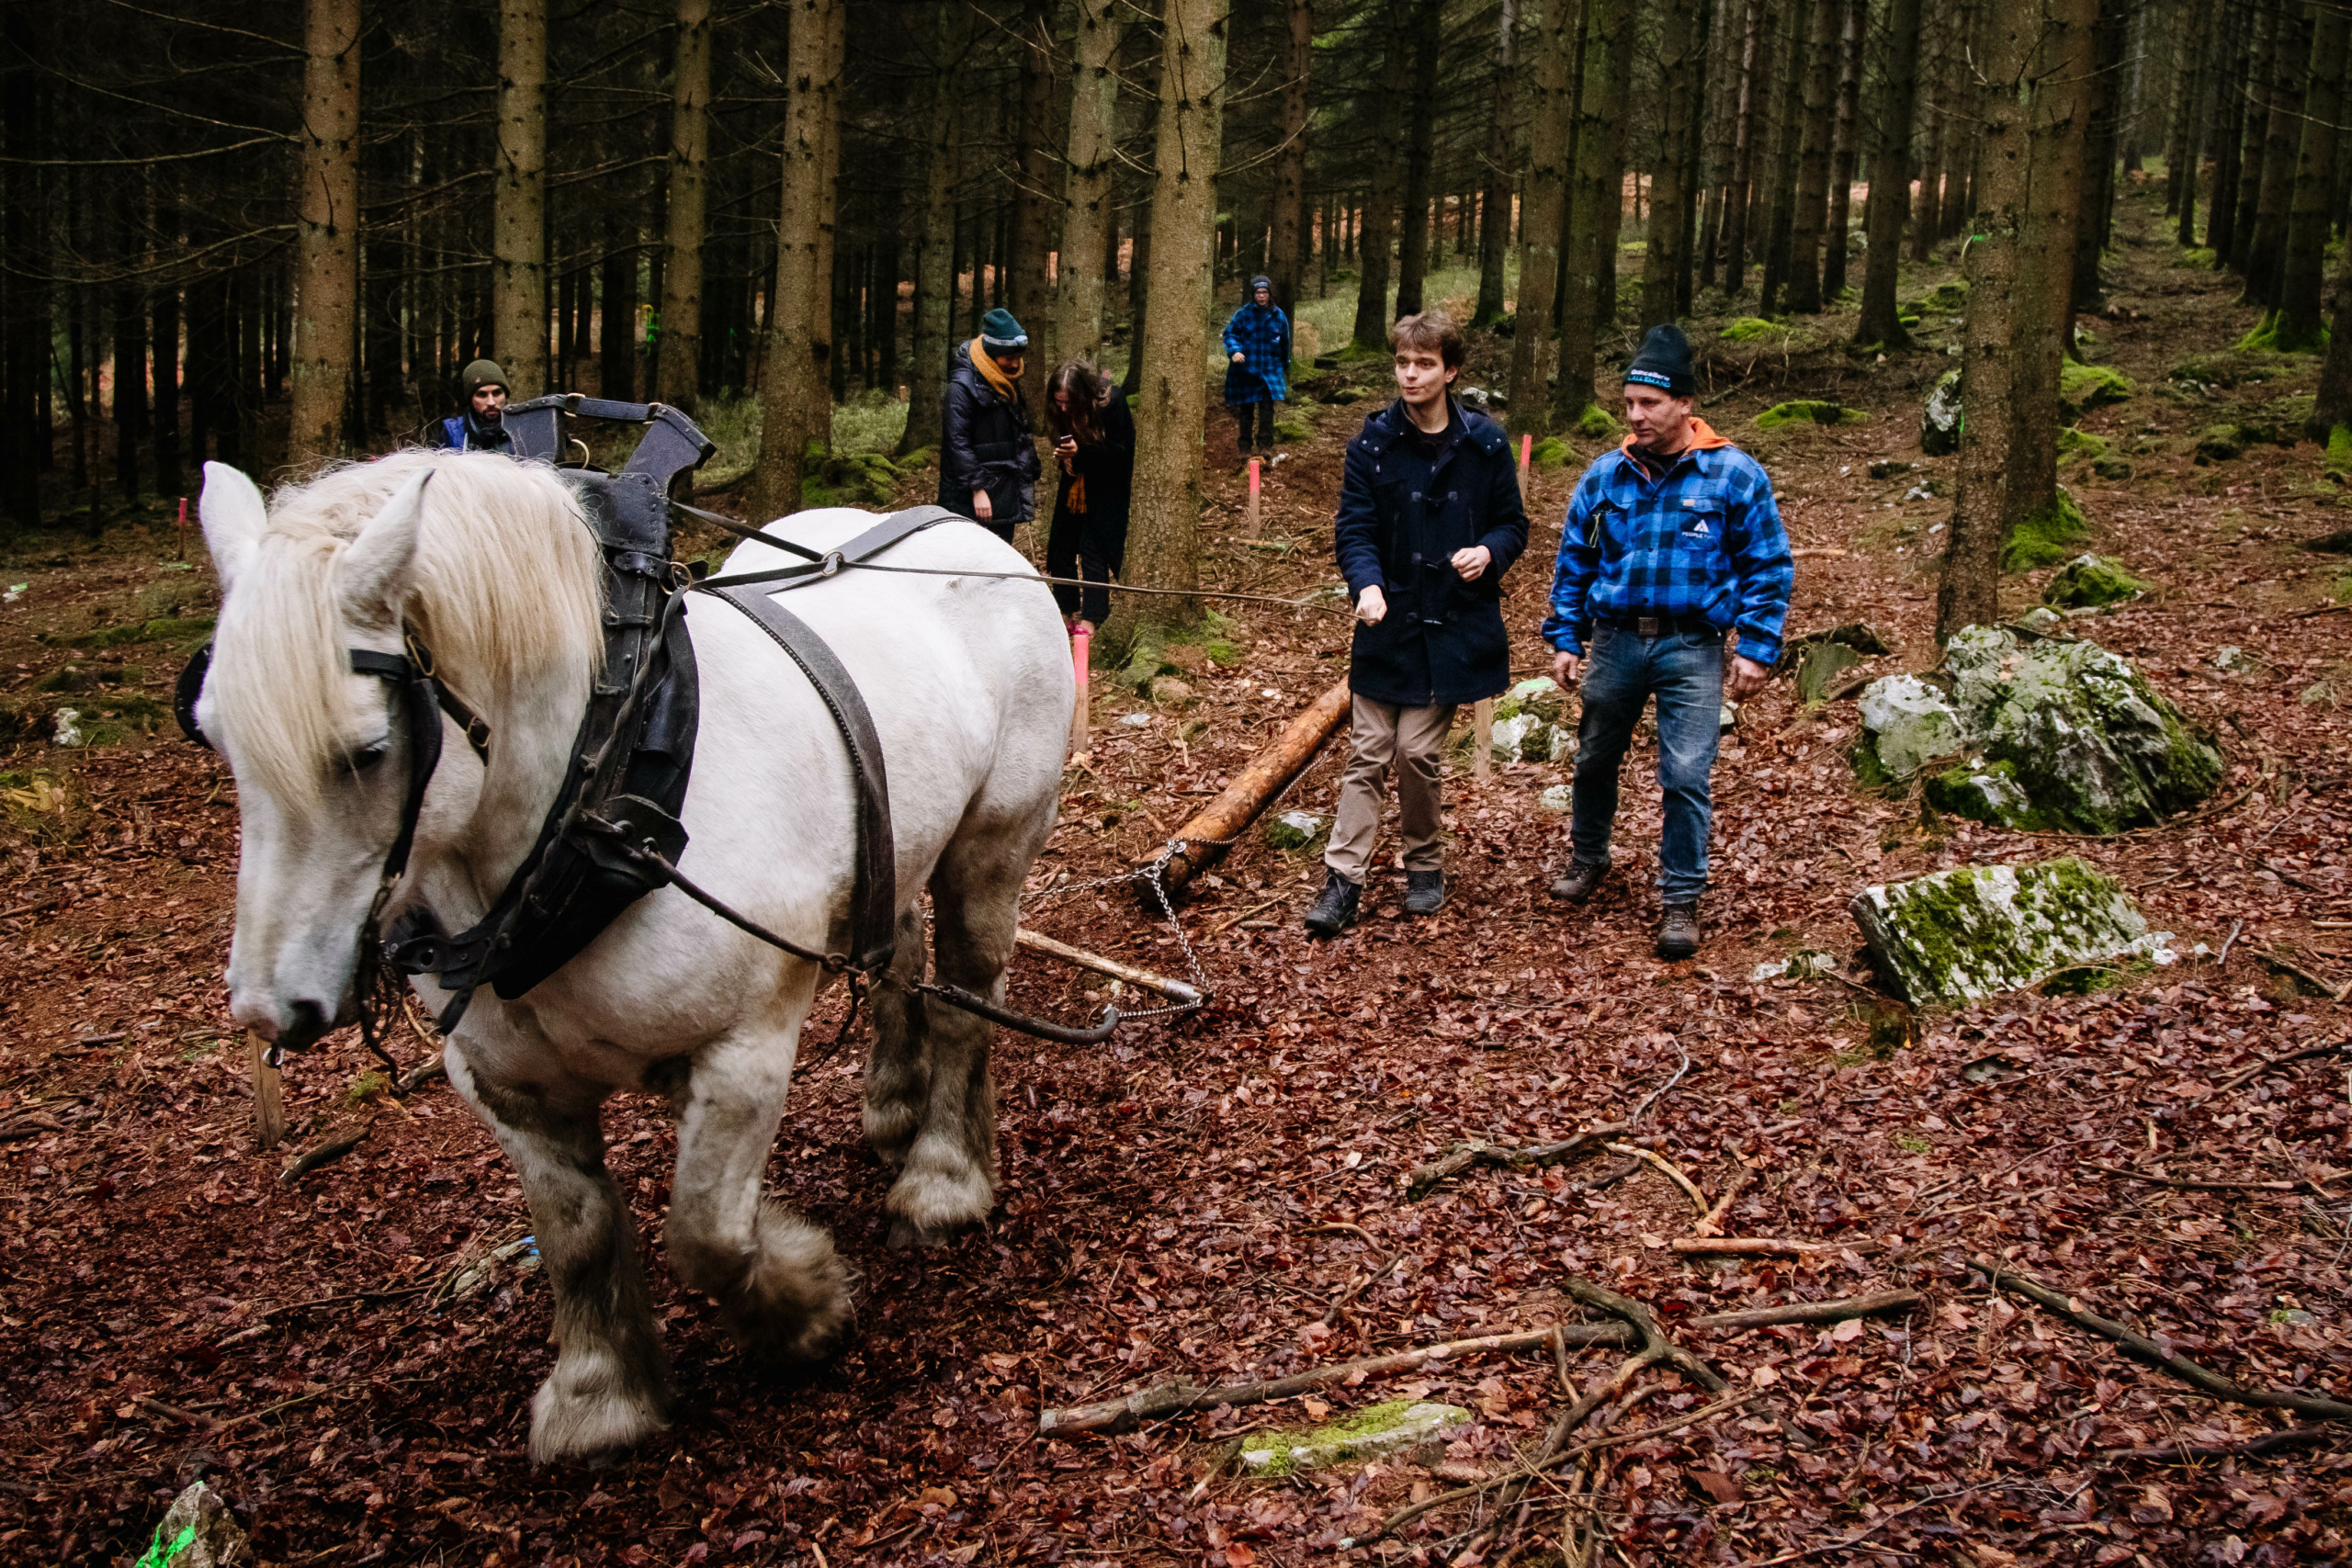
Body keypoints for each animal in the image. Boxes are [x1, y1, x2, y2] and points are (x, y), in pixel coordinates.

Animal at [195, 446, 1077, 1466]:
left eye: (368, 751)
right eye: (213, 734)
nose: (271, 1008)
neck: (602, 803)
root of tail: (963, 528)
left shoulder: (743, 1051)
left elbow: (706, 1235)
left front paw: (805, 1312)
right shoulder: (511, 1091)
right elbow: (575, 1234)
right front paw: (600, 1396)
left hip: (992, 843)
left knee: (965, 995)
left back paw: (941, 1176)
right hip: (895, 837)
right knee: (898, 954)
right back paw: (893, 1105)